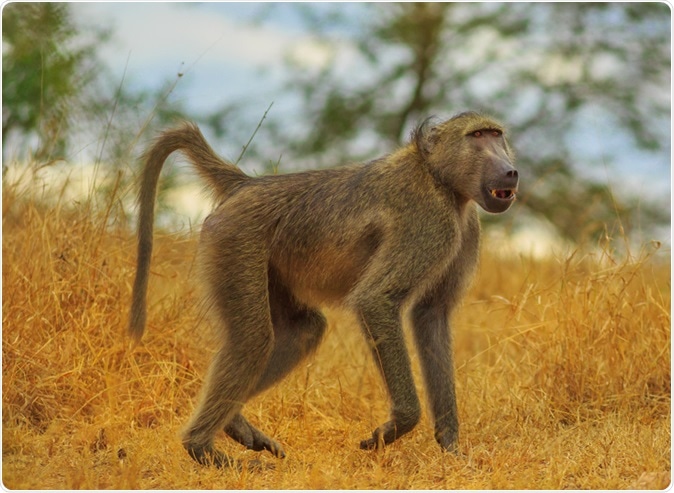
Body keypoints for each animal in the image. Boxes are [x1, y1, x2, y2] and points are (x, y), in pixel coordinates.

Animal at [129, 111, 518, 468]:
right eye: (478, 136)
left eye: (497, 135)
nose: (511, 171)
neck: (439, 178)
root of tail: (247, 185)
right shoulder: (430, 221)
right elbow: (376, 299)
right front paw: (393, 429)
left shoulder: (465, 230)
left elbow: (431, 316)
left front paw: (451, 449)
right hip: (234, 239)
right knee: (253, 339)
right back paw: (204, 450)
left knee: (303, 331)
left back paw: (233, 425)